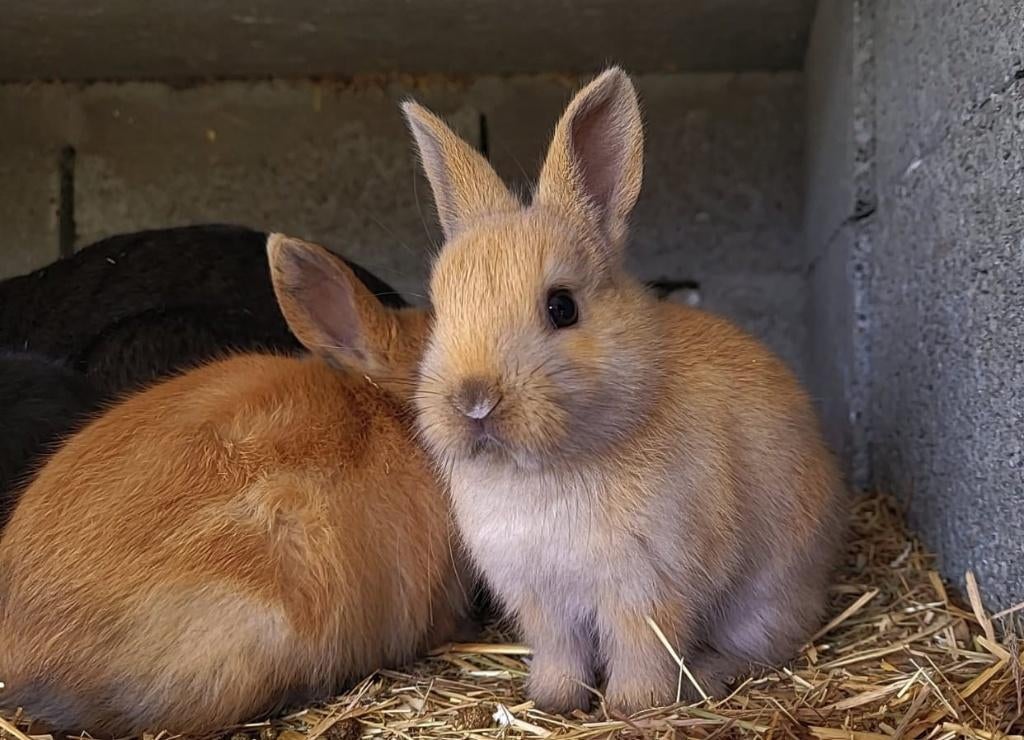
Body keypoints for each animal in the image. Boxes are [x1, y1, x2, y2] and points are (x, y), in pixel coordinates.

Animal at [401, 67, 847, 715]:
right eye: (440, 310)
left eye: (562, 307)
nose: (474, 401)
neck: (546, 469)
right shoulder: (543, 601)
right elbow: (561, 652)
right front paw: (554, 701)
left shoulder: (646, 589)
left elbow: (641, 651)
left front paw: (633, 707)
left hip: (767, 598)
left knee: (763, 645)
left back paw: (708, 675)